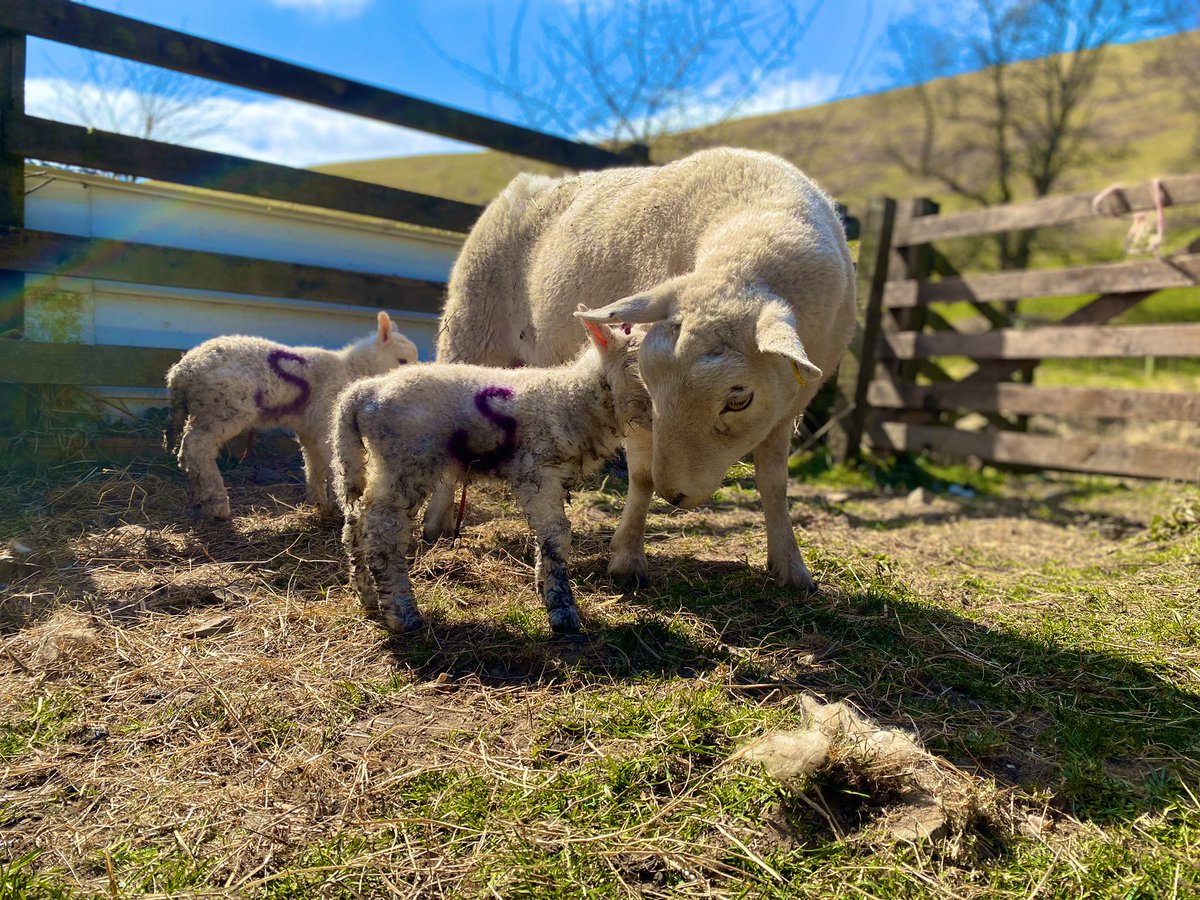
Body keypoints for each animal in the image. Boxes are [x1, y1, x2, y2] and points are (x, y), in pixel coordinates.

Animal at [167, 312, 418, 520]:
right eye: (401, 360)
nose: (411, 380)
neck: (351, 368)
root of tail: (181, 372)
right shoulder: (326, 417)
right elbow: (331, 460)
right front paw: (338, 505)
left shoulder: (309, 426)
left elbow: (313, 463)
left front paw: (318, 502)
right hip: (224, 406)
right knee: (198, 446)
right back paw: (218, 504)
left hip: (203, 409)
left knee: (188, 451)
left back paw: (200, 500)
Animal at [332, 310, 649, 634]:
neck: (572, 396)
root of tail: (363, 392)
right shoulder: (536, 469)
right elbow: (556, 535)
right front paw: (561, 608)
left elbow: (546, 536)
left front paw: (542, 585)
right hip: (406, 457)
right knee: (383, 530)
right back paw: (402, 613)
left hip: (382, 463)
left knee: (355, 523)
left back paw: (367, 595)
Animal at [424, 148, 857, 592]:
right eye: (649, 385)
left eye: (739, 399)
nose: (676, 496)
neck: (746, 245)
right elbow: (644, 477)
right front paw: (627, 558)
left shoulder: (783, 411)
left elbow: (774, 486)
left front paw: (790, 566)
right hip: (469, 331)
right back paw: (436, 524)